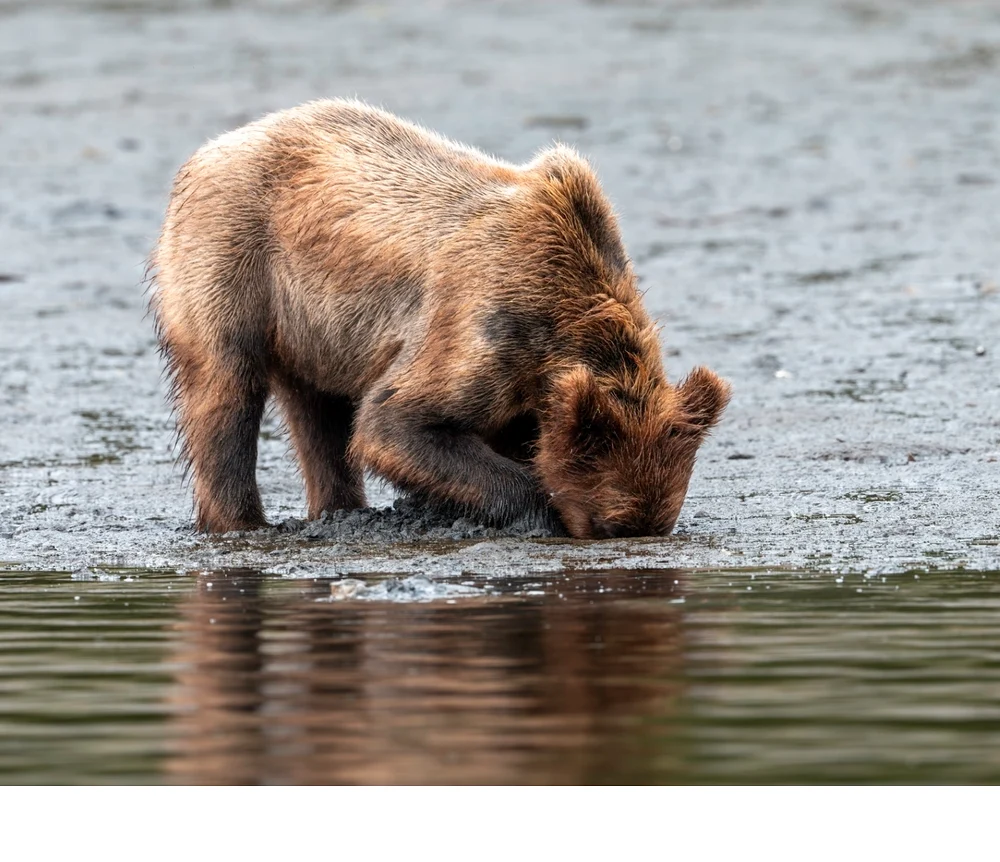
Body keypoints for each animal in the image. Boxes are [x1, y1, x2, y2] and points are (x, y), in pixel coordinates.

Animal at [149, 99, 731, 538]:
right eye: (613, 524)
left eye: (654, 524)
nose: (633, 528)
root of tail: (216, 144)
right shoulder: (486, 327)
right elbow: (395, 422)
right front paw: (535, 511)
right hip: (234, 256)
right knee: (225, 389)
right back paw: (240, 521)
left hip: (315, 326)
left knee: (320, 413)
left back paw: (341, 509)